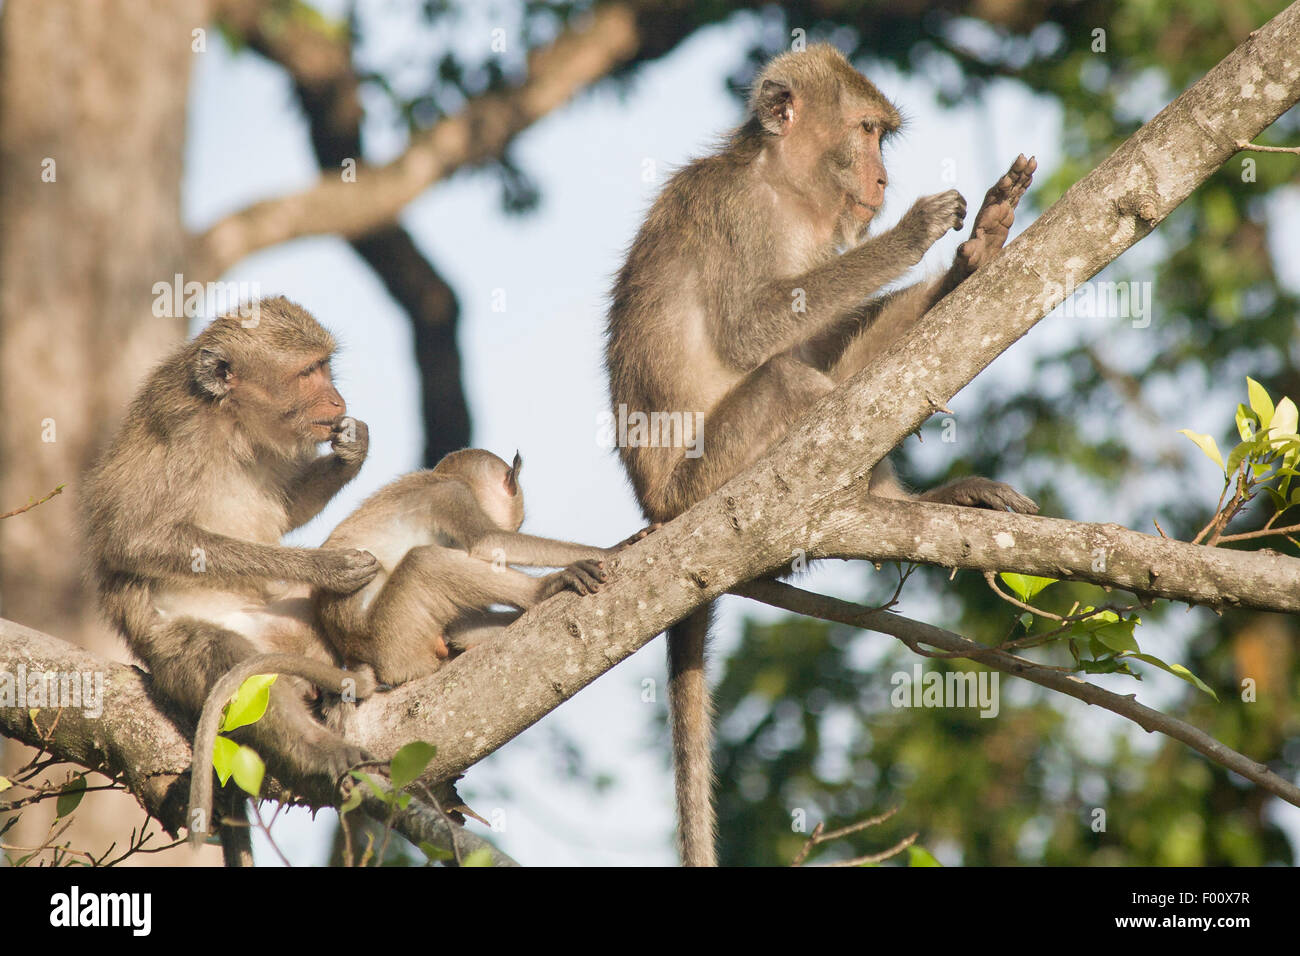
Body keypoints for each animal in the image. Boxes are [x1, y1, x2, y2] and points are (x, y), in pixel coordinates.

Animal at [81, 296, 382, 860]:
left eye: (325, 366)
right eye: (307, 372)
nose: (336, 400)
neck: (232, 422)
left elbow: (289, 507)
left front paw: (353, 449)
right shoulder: (180, 432)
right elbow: (133, 539)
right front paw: (326, 566)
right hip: (173, 656)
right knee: (223, 659)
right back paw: (315, 748)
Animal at [315, 448, 656, 686]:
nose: (516, 525)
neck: (443, 477)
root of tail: (357, 657)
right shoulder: (451, 496)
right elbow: (488, 540)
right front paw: (613, 547)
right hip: (394, 639)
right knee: (426, 561)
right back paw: (541, 590)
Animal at [604, 44, 1039, 865]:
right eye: (867, 131)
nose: (883, 180)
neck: (782, 185)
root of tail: (655, 509)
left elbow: (831, 340)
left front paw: (976, 253)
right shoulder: (740, 216)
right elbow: (752, 330)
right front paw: (911, 234)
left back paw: (906, 503)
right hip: (707, 481)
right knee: (789, 382)